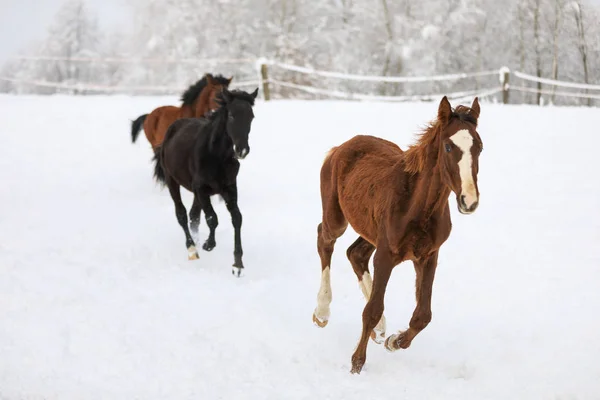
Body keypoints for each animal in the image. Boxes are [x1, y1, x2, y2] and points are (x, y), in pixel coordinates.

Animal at [151, 86, 256, 276]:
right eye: (231, 115)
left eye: (251, 116)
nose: (242, 150)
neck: (216, 155)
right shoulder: (201, 188)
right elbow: (212, 218)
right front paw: (208, 244)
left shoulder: (229, 188)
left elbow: (237, 218)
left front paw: (237, 264)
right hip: (172, 181)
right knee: (182, 214)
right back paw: (193, 249)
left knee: (193, 216)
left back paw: (197, 243)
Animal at [312, 95, 486, 374]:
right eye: (448, 147)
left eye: (479, 147)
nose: (468, 201)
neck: (419, 206)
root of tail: (341, 147)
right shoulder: (386, 255)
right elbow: (372, 309)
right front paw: (357, 363)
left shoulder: (428, 256)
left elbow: (423, 315)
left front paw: (394, 340)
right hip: (336, 218)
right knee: (325, 240)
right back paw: (322, 312)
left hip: (371, 231)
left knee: (355, 253)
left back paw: (381, 330)